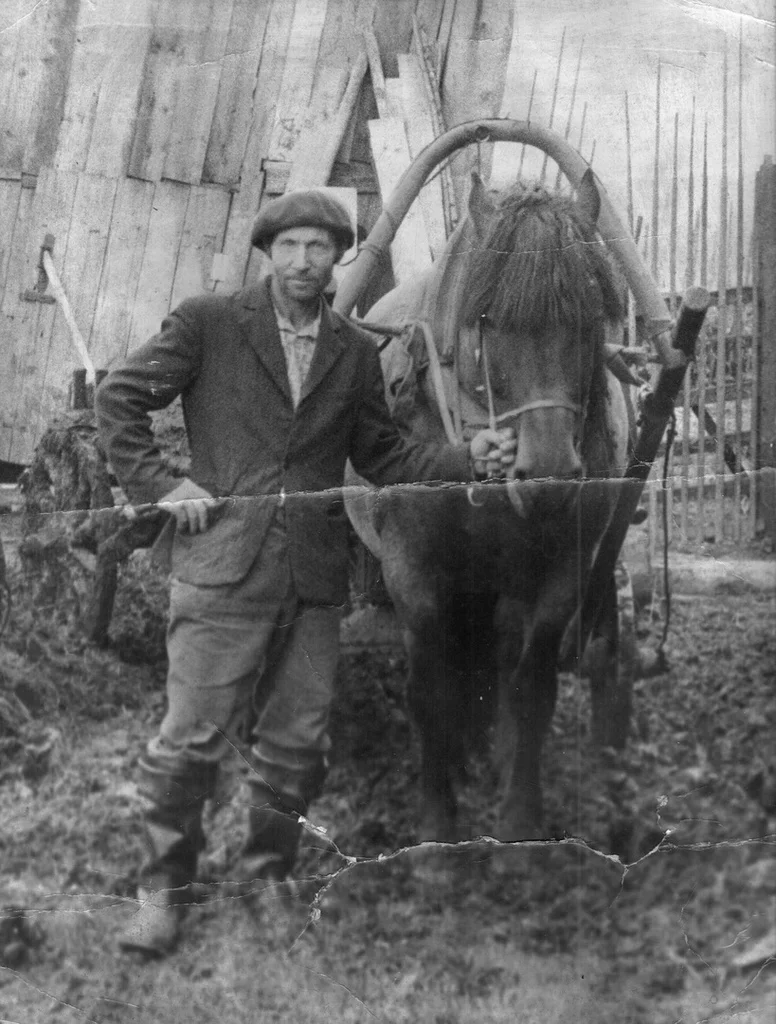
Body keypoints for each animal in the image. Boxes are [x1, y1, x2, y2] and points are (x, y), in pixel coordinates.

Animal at [350, 169, 634, 839]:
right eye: (490, 319)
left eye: (591, 317)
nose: (550, 476)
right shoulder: (412, 574)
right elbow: (431, 691)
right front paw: (436, 823)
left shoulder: (562, 571)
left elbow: (531, 686)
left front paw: (521, 814)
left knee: (500, 654)